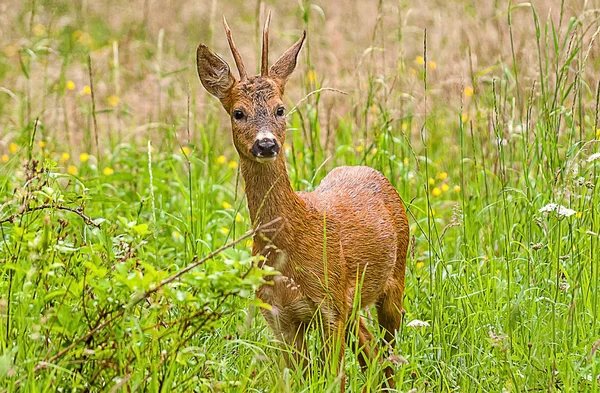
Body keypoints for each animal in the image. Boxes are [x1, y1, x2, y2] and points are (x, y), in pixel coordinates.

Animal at [195, 11, 410, 388]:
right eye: (238, 112)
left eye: (281, 109)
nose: (266, 144)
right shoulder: (279, 316)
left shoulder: (330, 304)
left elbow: (333, 378)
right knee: (370, 348)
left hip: (395, 279)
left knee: (388, 350)